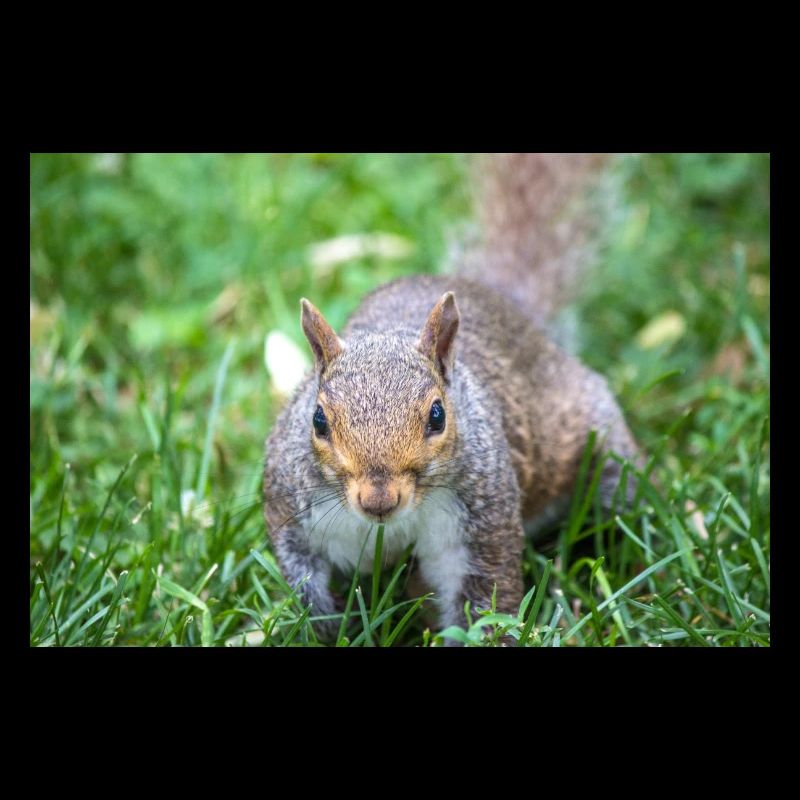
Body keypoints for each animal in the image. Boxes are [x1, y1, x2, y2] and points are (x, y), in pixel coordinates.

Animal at [263, 153, 640, 643]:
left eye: (438, 416)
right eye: (318, 421)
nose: (378, 501)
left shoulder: (480, 525)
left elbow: (484, 598)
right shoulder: (291, 511)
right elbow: (302, 581)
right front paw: (325, 628)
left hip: (604, 452)